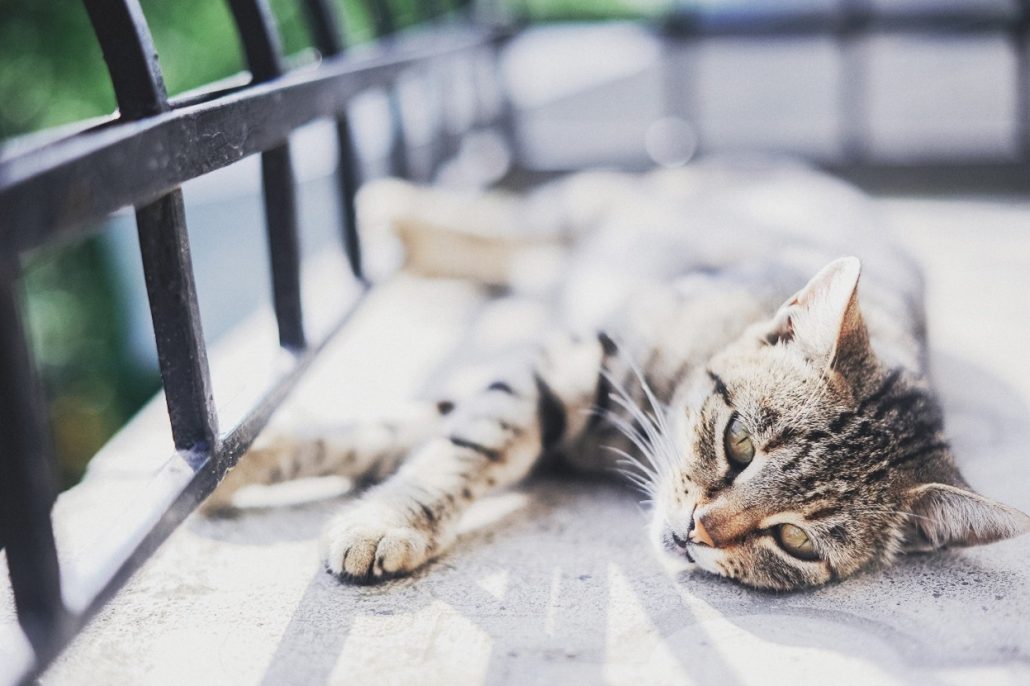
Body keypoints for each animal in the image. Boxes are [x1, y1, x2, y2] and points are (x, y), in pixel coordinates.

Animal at [202, 158, 1030, 589]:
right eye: (738, 442)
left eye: (794, 539)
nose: (697, 529)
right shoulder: (561, 361)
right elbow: (456, 445)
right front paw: (373, 514)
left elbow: (411, 431)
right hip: (596, 203)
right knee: (519, 229)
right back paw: (395, 210)